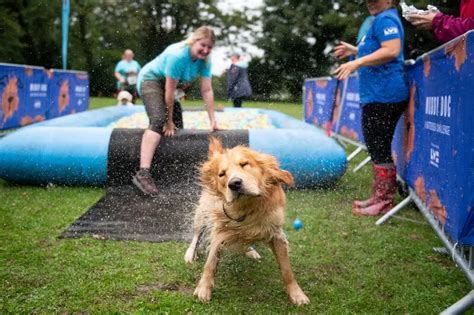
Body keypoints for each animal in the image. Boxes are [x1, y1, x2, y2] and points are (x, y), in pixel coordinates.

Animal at [183, 138, 310, 306]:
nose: (234, 183)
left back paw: (251, 250)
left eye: (244, 164)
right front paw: (203, 289)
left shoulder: (276, 234)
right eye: (222, 174)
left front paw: (297, 294)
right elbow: (210, 262)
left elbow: (287, 269)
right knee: (196, 236)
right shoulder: (219, 231)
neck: (247, 206)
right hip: (203, 213)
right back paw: (190, 254)